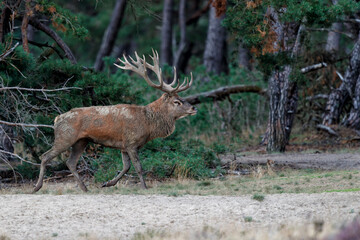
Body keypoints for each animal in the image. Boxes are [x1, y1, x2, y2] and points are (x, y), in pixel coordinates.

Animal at [32, 49, 197, 192]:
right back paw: (37, 187)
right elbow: (138, 167)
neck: (148, 124)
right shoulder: (131, 142)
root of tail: (57, 119)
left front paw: (107, 183)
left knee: (70, 162)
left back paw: (85, 188)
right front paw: (144, 187)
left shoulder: (124, 146)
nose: (194, 108)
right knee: (45, 156)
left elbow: (126, 167)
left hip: (81, 141)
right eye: (177, 102)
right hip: (65, 137)